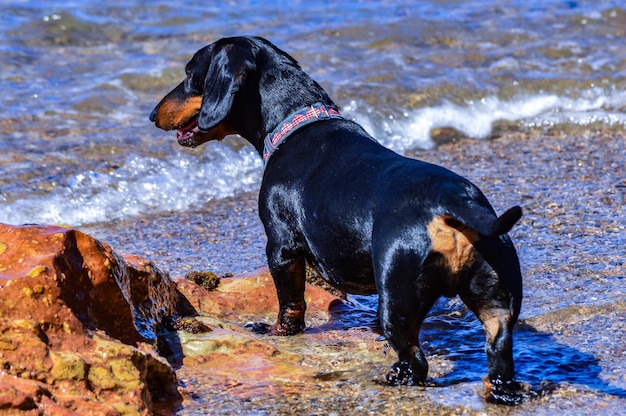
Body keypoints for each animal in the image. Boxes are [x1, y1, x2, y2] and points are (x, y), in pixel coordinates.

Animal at [150, 37, 520, 404]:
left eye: (190, 74)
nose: (152, 115)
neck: (295, 123)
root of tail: (453, 203)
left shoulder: (281, 248)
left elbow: (290, 305)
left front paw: (276, 332)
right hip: (497, 301)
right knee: (499, 349)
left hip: (397, 299)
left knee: (414, 361)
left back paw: (392, 378)